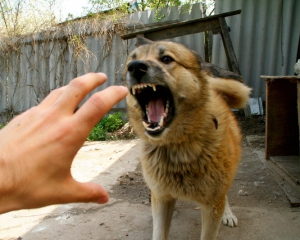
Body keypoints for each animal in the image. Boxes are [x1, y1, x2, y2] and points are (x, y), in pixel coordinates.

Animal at [123, 40, 252, 239]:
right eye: (132, 60)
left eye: (166, 59)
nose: (135, 67)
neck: (178, 147)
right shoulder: (161, 199)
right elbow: (159, 232)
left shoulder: (212, 205)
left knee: (225, 195)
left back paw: (228, 214)